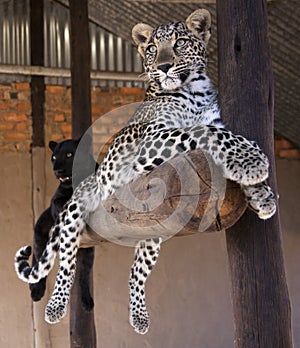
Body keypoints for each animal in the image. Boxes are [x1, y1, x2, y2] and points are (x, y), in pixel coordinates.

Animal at [14, 8, 276, 334]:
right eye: (152, 48)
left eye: (179, 43)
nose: (163, 67)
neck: (196, 92)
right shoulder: (155, 138)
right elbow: (204, 132)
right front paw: (252, 161)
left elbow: (222, 136)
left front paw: (262, 195)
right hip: (74, 213)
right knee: (67, 263)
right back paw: (55, 307)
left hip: (153, 235)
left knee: (134, 273)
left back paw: (139, 317)